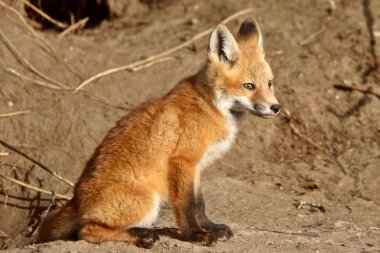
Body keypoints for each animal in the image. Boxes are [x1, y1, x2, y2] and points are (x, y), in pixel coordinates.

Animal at [36, 18, 280, 249]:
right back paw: (142, 237)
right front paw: (196, 235)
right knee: (86, 230)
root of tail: (76, 200)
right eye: (249, 86)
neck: (211, 105)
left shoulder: (196, 167)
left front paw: (212, 228)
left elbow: (200, 204)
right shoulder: (182, 161)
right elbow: (187, 206)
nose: (276, 108)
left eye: (269, 83)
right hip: (147, 202)